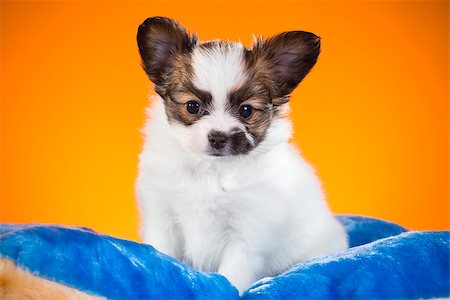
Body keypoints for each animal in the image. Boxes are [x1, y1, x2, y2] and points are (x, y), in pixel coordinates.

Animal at [135, 17, 350, 292]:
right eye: (192, 106)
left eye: (246, 110)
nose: (218, 137)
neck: (211, 171)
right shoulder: (162, 214)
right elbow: (161, 252)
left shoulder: (249, 231)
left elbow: (233, 274)